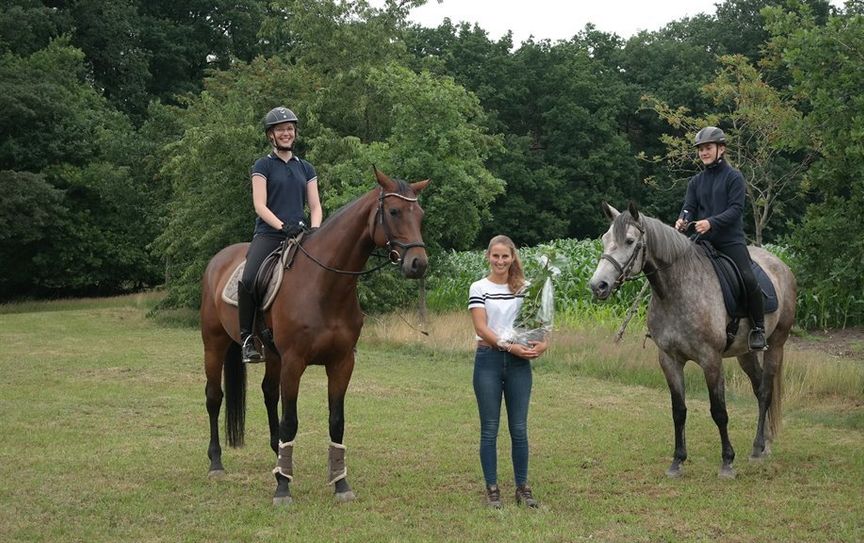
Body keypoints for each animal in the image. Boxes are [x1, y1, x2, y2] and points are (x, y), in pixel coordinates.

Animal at [203, 168, 432, 504]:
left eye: (420, 215)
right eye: (393, 211)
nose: (418, 264)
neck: (325, 285)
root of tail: (218, 259)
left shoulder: (341, 363)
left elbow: (336, 421)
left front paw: (340, 483)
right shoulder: (294, 362)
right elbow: (290, 420)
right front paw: (283, 488)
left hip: (272, 355)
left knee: (268, 393)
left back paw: (277, 460)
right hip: (214, 343)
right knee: (214, 396)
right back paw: (216, 463)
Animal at [588, 204, 796, 480]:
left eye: (630, 241)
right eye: (604, 239)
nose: (598, 286)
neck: (677, 290)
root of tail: (781, 266)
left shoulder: (711, 360)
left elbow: (719, 411)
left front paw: (727, 462)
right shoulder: (669, 360)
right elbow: (679, 411)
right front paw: (677, 461)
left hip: (776, 344)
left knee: (765, 391)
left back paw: (758, 447)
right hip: (746, 353)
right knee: (758, 386)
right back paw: (762, 445)